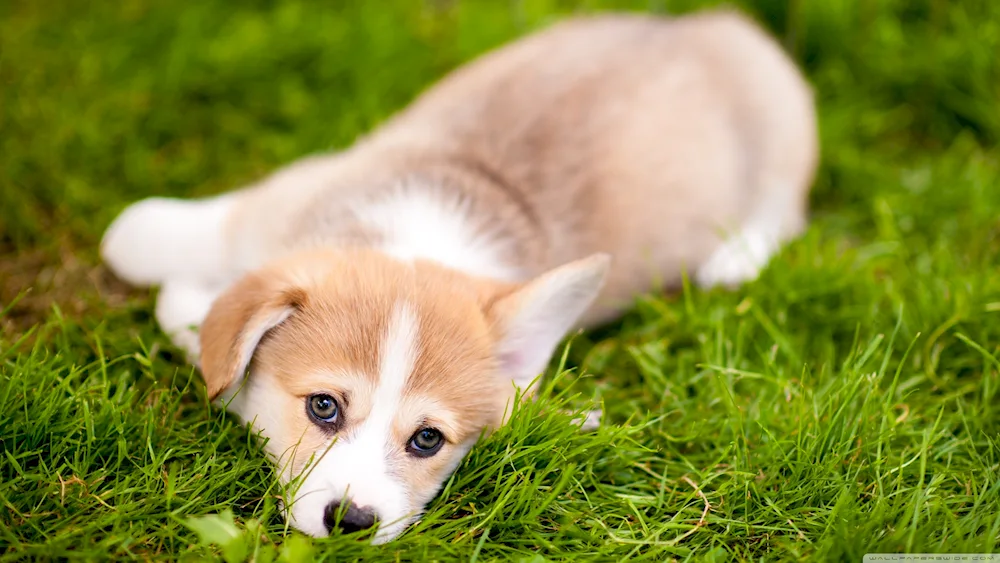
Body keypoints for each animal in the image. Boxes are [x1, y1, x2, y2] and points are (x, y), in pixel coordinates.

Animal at [99, 11, 820, 544]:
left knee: (782, 210)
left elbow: (182, 305)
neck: (418, 237)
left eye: (428, 439)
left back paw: (732, 258)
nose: (351, 522)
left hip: (786, 133)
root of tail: (711, 25)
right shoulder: (279, 201)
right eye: (323, 407)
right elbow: (138, 240)